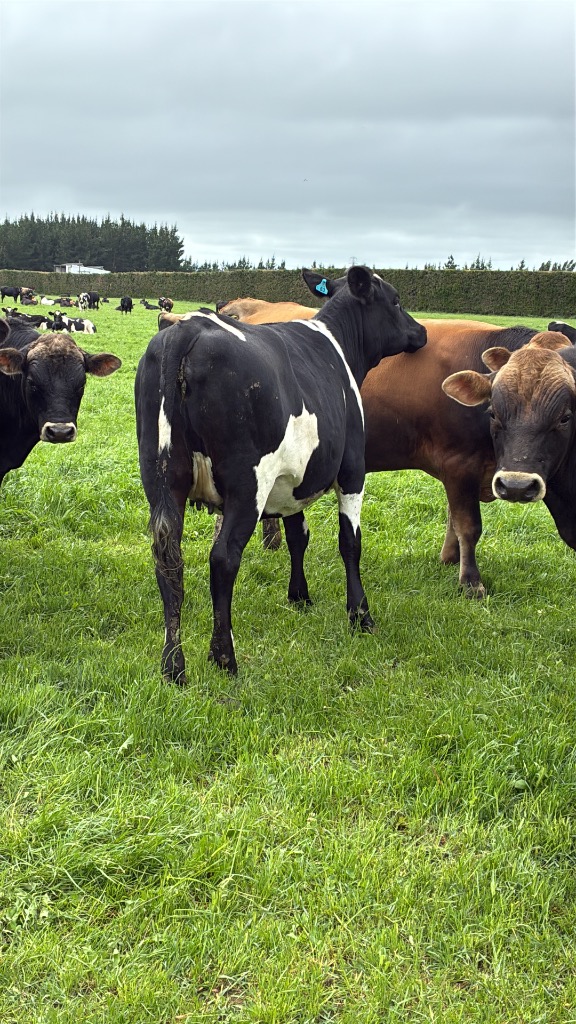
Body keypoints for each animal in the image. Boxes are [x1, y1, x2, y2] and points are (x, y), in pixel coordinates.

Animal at [135, 266, 427, 682]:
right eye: (396, 300)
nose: (422, 332)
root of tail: (185, 330)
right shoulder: (353, 469)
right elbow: (349, 542)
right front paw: (360, 615)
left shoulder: (290, 485)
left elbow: (297, 536)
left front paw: (299, 596)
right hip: (247, 485)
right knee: (223, 557)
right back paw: (223, 656)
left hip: (160, 479)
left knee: (168, 559)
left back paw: (174, 665)